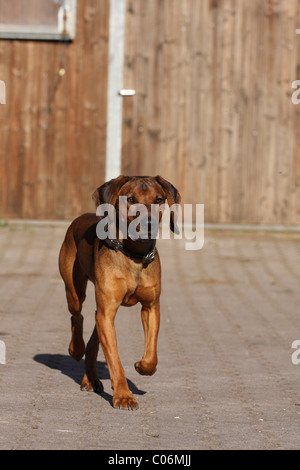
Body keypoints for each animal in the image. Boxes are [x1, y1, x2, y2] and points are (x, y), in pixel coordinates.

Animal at [58, 176, 180, 412]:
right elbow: (114, 359)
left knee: (94, 335)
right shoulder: (107, 310)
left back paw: (90, 379)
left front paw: (142, 366)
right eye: (130, 199)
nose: (149, 224)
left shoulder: (151, 306)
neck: (134, 255)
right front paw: (124, 396)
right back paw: (76, 349)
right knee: (77, 315)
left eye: (159, 199)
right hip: (74, 290)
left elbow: (151, 354)